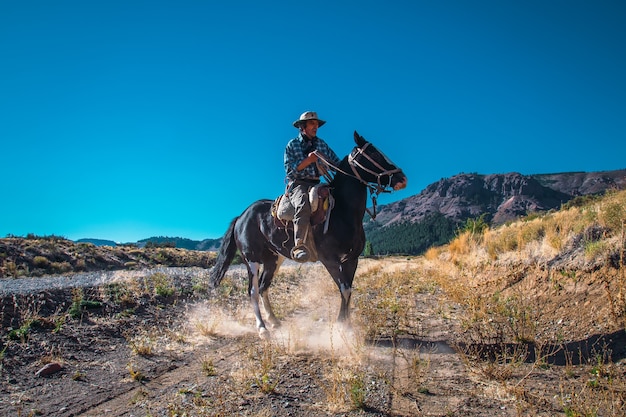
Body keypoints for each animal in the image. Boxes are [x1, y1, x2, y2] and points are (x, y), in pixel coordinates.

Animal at [207, 132, 408, 336]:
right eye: (373, 154)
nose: (402, 178)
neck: (342, 211)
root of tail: (242, 216)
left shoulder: (351, 260)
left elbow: (349, 290)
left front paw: (347, 327)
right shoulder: (330, 260)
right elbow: (344, 289)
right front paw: (340, 327)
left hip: (273, 259)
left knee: (264, 287)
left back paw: (274, 321)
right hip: (252, 259)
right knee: (253, 291)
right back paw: (262, 328)